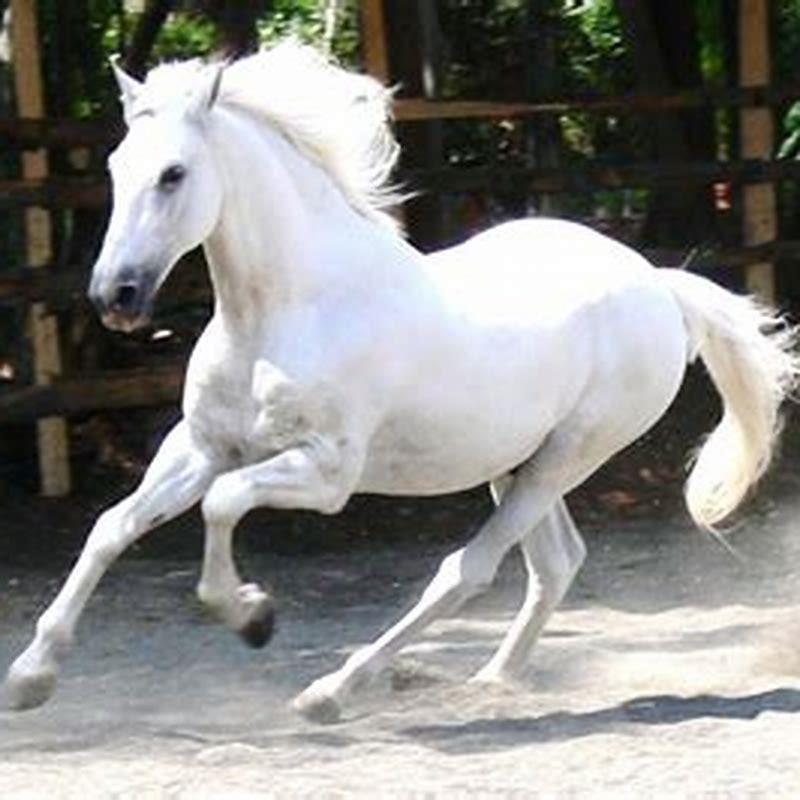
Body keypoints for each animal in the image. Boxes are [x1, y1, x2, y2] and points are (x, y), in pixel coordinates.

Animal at [5, 42, 798, 721]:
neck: (282, 311)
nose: (116, 296)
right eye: (116, 166)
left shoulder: (325, 473)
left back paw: (333, 692)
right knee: (554, 563)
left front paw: (252, 615)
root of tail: (659, 286)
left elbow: (223, 505)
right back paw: (493, 678)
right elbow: (112, 527)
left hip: (568, 456)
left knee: (468, 570)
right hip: (515, 461)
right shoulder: (201, 447)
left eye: (173, 174)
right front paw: (30, 678)